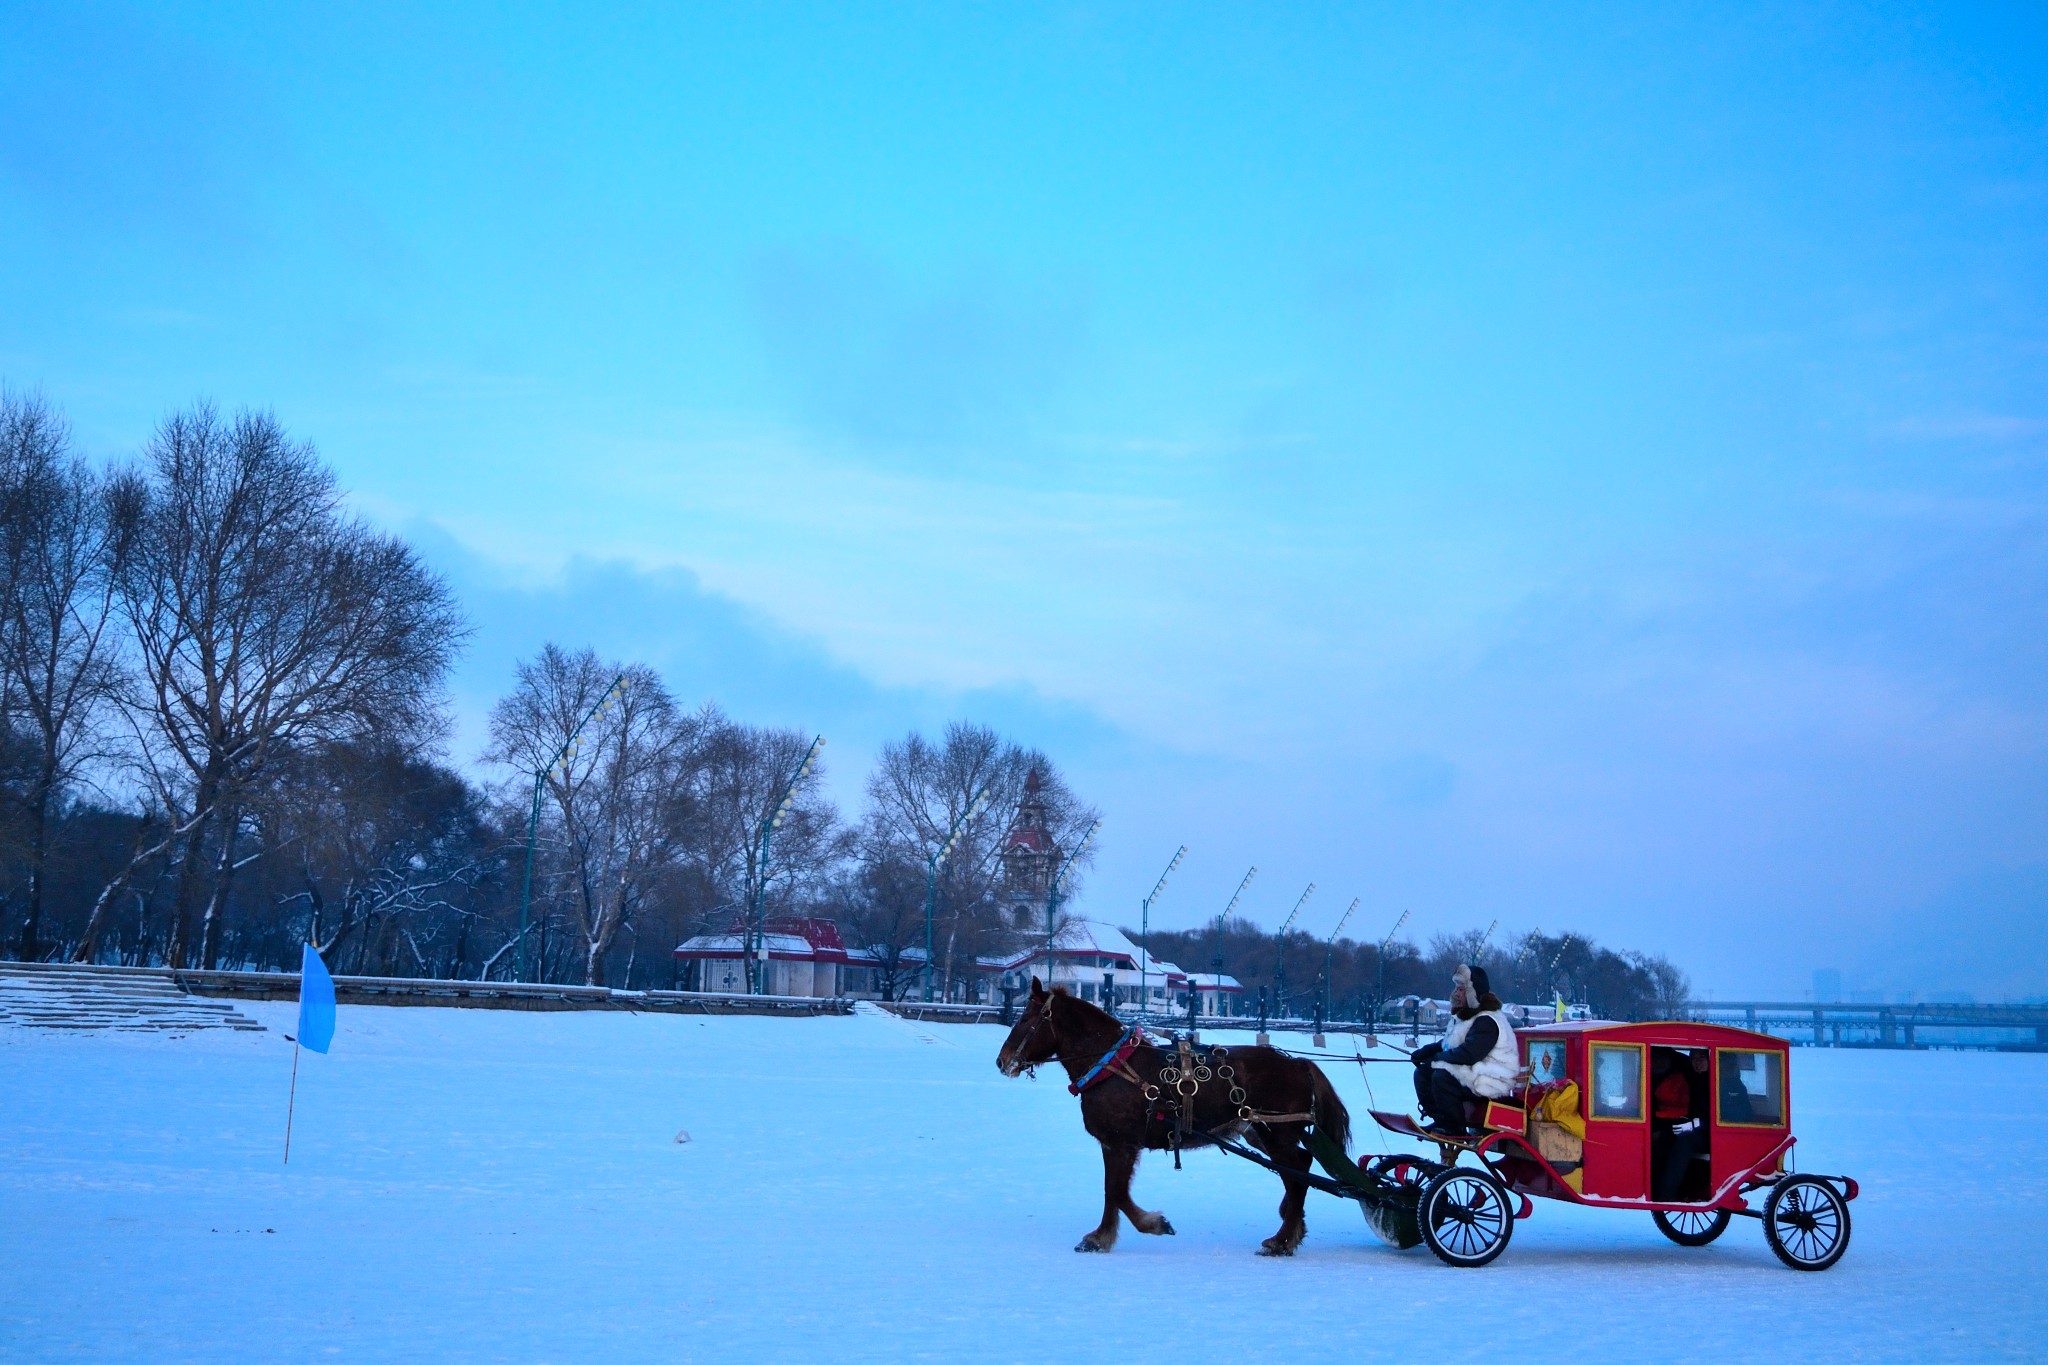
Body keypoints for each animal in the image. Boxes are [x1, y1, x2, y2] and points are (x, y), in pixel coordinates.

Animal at [991, 978, 1343, 1252]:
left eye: (1026, 1019)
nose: (1002, 1060)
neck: (1113, 1066)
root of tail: (1298, 1063)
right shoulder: (1111, 1144)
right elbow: (1111, 1190)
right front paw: (1103, 1236)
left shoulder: (1123, 1143)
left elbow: (1116, 1191)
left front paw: (1150, 1224)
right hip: (1258, 1131)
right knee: (1296, 1172)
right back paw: (1290, 1228)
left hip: (1277, 1134)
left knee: (1298, 1173)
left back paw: (1281, 1240)